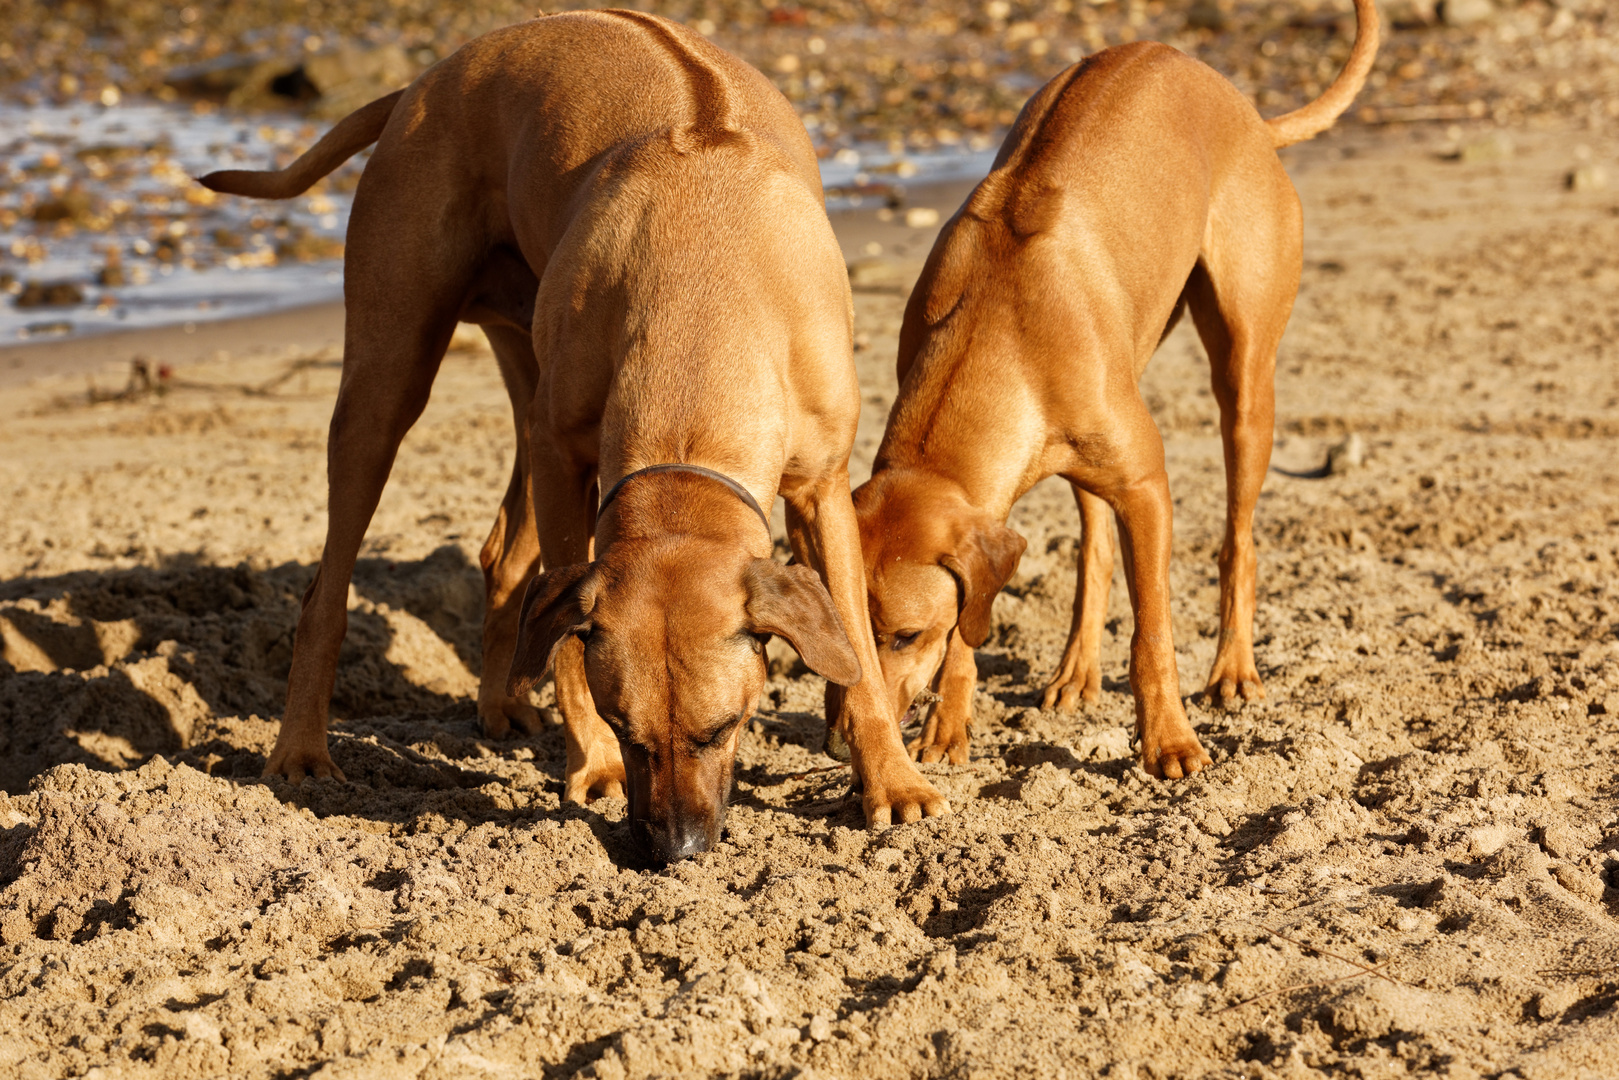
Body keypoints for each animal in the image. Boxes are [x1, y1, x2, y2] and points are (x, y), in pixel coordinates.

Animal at [208, 6, 951, 854]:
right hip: (389, 371)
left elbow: (856, 641)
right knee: (326, 589)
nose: (674, 848)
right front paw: (592, 767)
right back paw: (301, 749)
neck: (707, 295)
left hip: (521, 365)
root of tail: (429, 78)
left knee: (503, 554)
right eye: (627, 728)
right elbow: (566, 640)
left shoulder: (822, 483)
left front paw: (893, 781)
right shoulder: (566, 459)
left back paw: (500, 702)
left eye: (725, 727)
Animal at [848, 0, 1379, 777]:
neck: (996, 321)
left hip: (1245, 382)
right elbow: (972, 624)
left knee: (1238, 539)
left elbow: (1152, 630)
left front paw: (1170, 741)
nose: (842, 741)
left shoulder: (1147, 487)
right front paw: (948, 725)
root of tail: (1247, 111)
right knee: (1093, 545)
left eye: (905, 636)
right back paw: (1077, 670)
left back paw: (1232, 669)